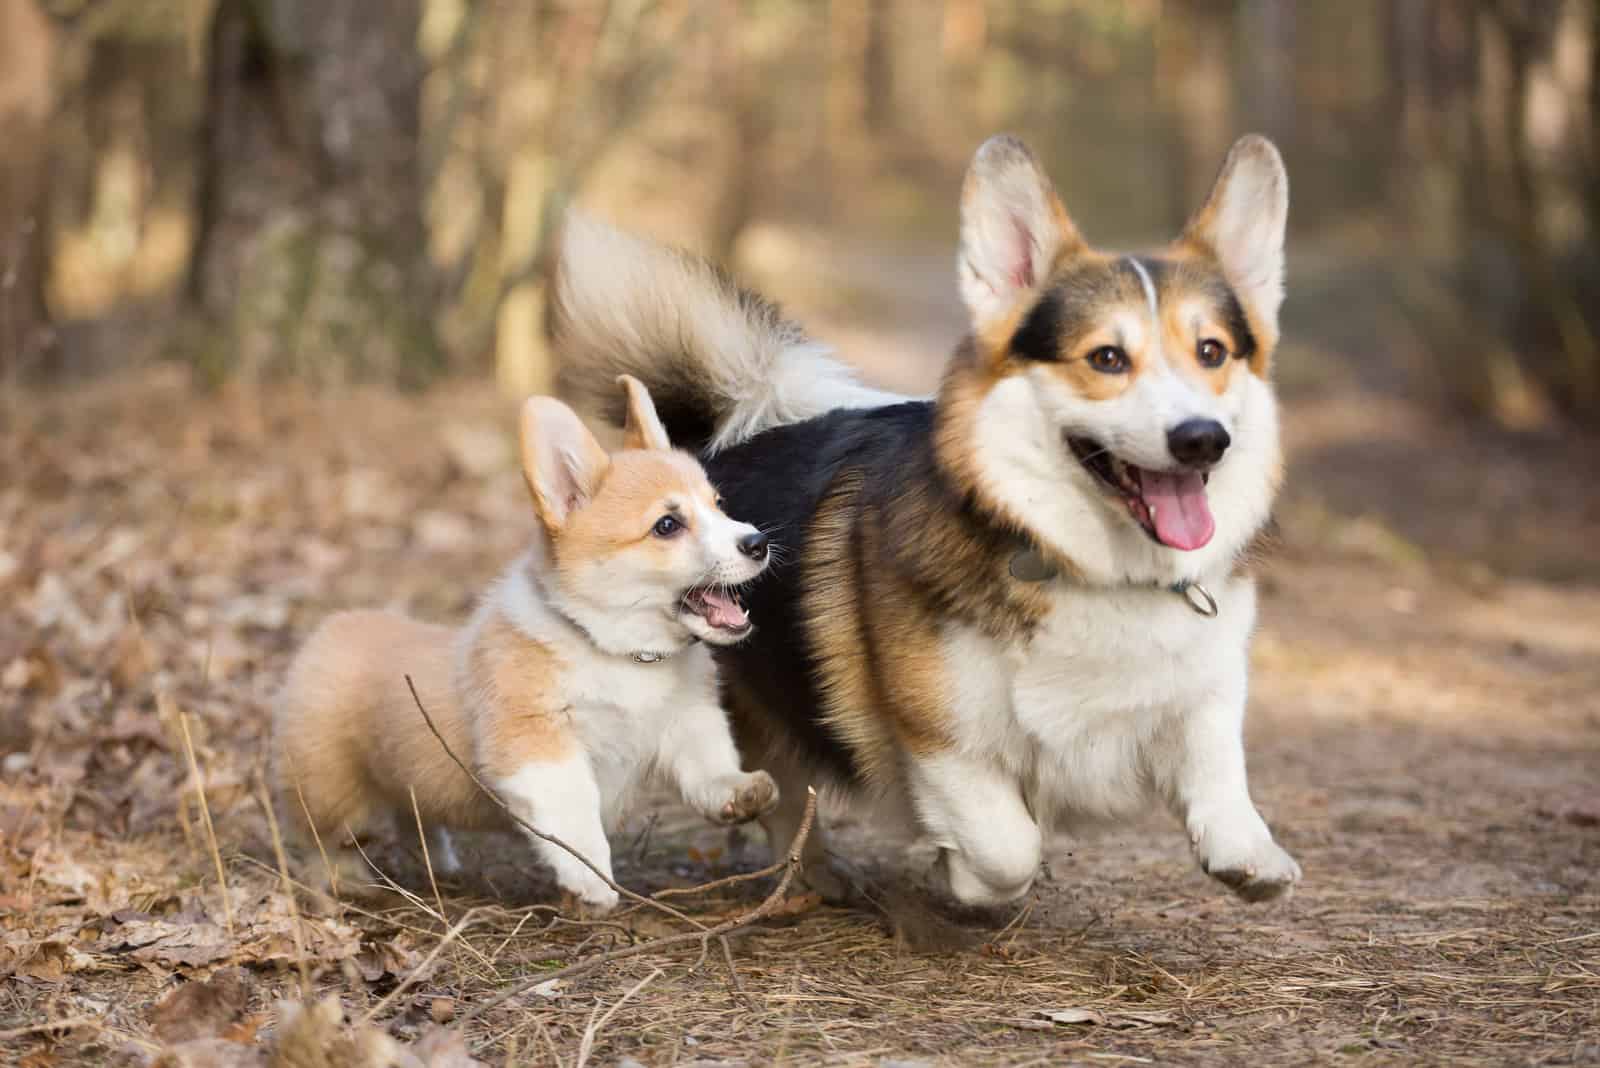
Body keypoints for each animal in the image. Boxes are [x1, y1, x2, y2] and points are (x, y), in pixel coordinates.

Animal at [273, 375, 780, 908]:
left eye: (719, 506)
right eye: (667, 525)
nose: (758, 542)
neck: (619, 651)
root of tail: (331, 628)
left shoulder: (687, 721)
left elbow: (709, 767)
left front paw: (740, 791)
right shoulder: (537, 745)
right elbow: (575, 817)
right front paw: (593, 882)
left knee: (414, 816)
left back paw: (437, 862)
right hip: (327, 790)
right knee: (323, 838)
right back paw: (345, 880)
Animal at [550, 133, 1299, 908]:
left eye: (1211, 352)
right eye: (1107, 358)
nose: (1203, 439)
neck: (1095, 568)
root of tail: (716, 444)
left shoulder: (1209, 686)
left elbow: (1217, 761)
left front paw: (1247, 855)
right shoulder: (941, 739)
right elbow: (1007, 847)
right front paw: (959, 877)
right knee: (781, 785)